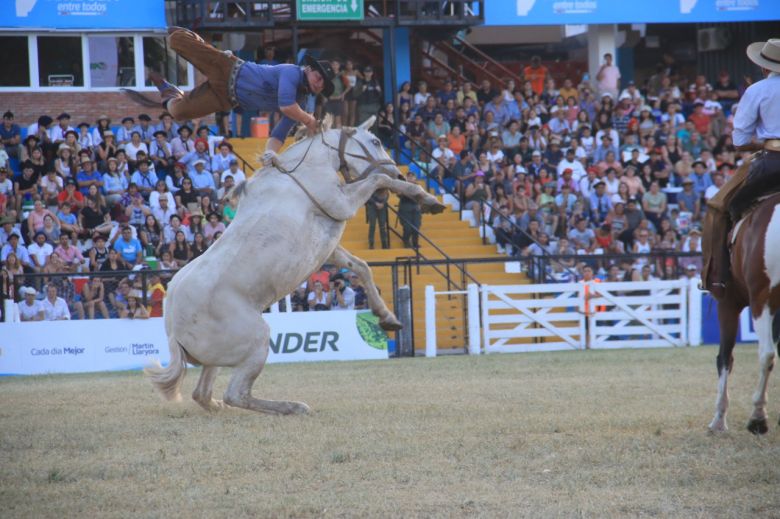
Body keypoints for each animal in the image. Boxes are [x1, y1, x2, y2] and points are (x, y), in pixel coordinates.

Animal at [708, 193, 780, 432]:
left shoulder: (727, 303)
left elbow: (724, 358)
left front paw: (719, 419)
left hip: (760, 300)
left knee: (766, 353)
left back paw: (757, 416)